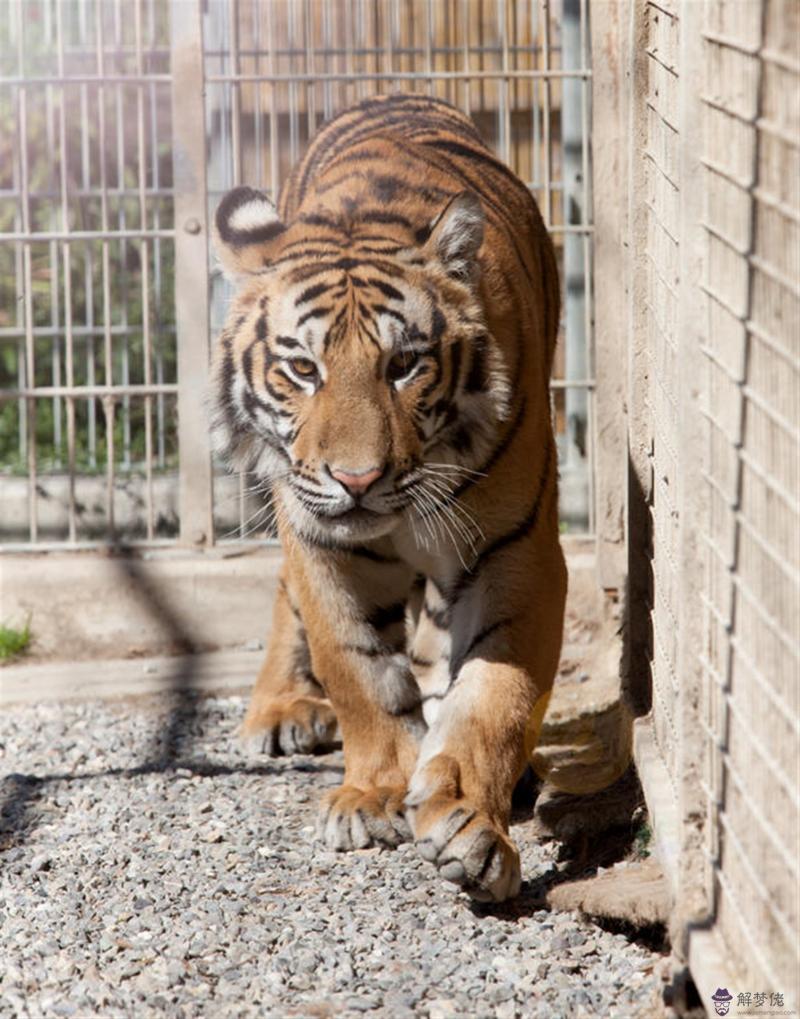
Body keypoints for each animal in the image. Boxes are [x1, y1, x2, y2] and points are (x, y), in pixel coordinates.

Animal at [208, 93, 566, 900]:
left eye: (404, 365)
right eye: (302, 368)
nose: (357, 479)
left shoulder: (519, 552)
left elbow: (496, 694)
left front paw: (471, 822)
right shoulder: (320, 544)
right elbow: (359, 670)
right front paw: (375, 795)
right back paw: (280, 710)